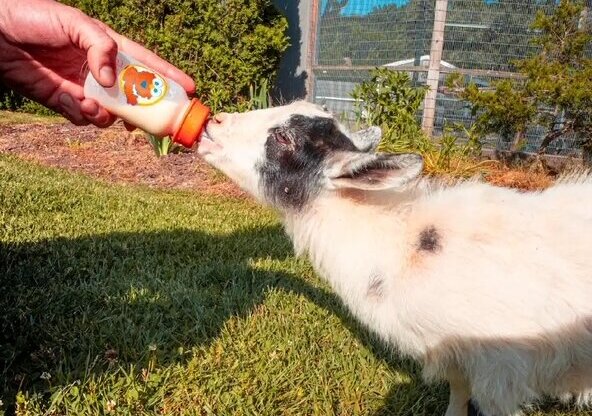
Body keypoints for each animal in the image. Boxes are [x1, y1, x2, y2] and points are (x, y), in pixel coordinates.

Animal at [198, 101, 592, 416]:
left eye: (283, 139)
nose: (213, 122)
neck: (400, 246)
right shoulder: (458, 355)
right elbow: (457, 394)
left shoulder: (501, 372)